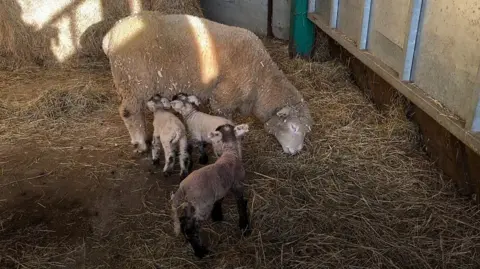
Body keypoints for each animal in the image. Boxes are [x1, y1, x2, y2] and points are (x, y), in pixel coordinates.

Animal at [170, 123, 251, 258]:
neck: (230, 152)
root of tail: (182, 188)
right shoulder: (237, 185)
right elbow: (240, 204)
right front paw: (244, 226)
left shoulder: (221, 188)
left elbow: (219, 200)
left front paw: (217, 215)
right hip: (203, 206)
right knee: (191, 228)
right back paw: (200, 252)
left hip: (190, 204)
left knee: (184, 221)